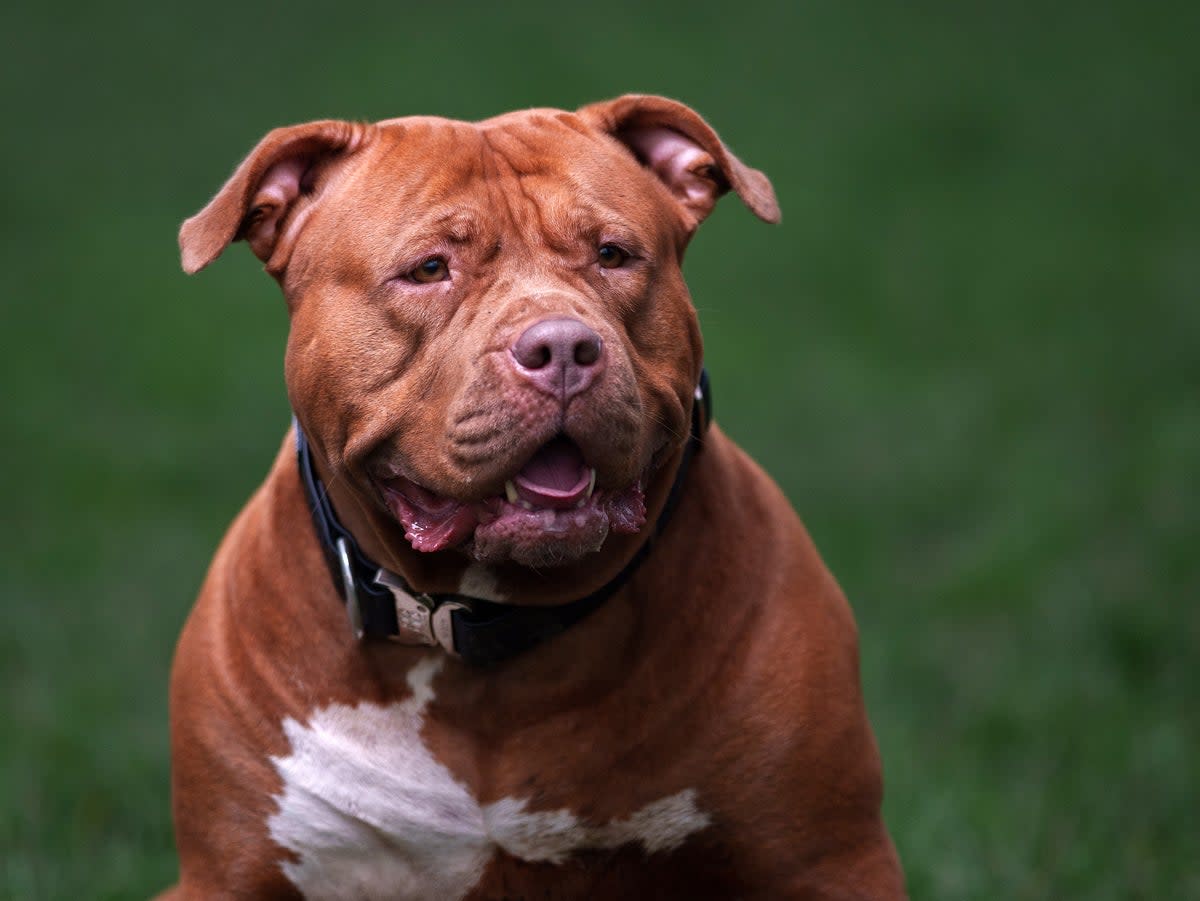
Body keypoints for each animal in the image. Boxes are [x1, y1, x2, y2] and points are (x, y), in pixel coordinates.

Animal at [164, 95, 902, 897]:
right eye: (429, 269)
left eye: (612, 255)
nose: (562, 348)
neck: (483, 628)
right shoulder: (222, 877)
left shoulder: (832, 860)